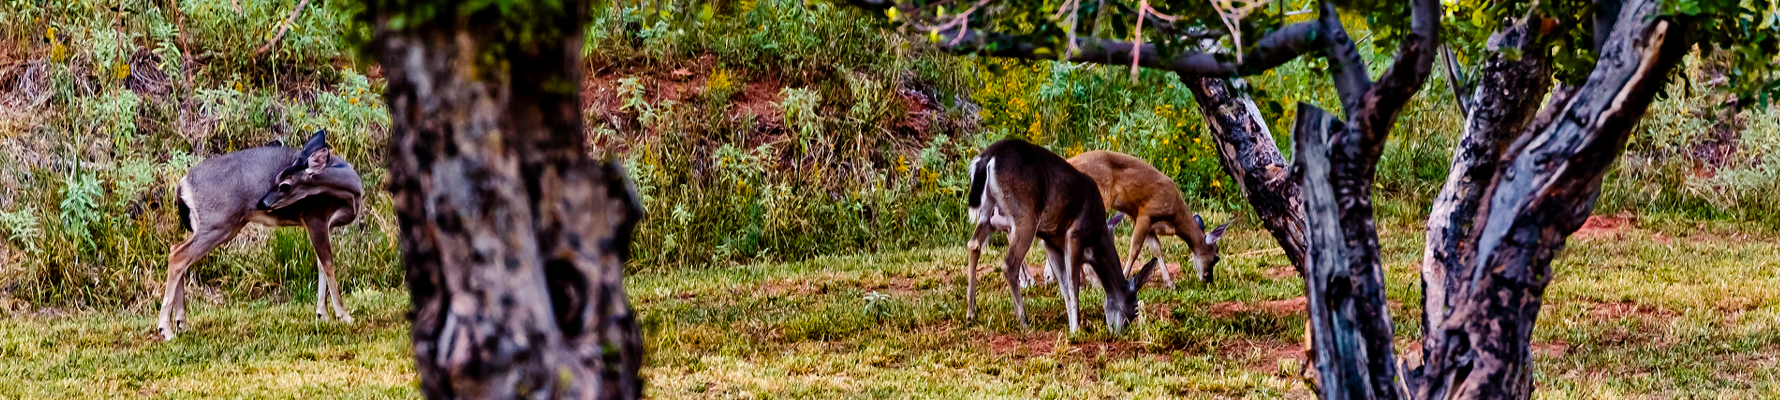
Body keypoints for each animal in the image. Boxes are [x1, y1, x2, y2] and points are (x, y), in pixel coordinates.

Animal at [156, 130, 363, 341]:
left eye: (284, 184)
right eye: (277, 178)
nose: (262, 203)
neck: (352, 193)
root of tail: (182, 184)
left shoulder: (325, 225)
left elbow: (321, 265)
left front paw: (323, 314)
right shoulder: (315, 217)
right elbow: (328, 264)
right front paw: (344, 315)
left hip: (213, 225)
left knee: (178, 252)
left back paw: (181, 323)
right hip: (218, 222)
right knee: (178, 256)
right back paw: (166, 329)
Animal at [965, 139, 1161, 334]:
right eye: (1134, 309)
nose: (1119, 332)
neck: (1097, 239)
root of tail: (988, 158)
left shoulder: (1051, 241)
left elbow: (1064, 287)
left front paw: (1072, 324)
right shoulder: (1075, 235)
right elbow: (1073, 285)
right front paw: (1076, 328)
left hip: (988, 212)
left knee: (974, 244)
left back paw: (971, 313)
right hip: (1025, 214)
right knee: (1009, 264)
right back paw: (1024, 322)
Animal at [1067, 150, 1230, 288]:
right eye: (1216, 257)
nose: (1208, 279)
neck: (1175, 219)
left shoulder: (1148, 224)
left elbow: (1156, 249)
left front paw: (1170, 284)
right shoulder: (1146, 213)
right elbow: (1135, 249)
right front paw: (1125, 277)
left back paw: (1082, 284)